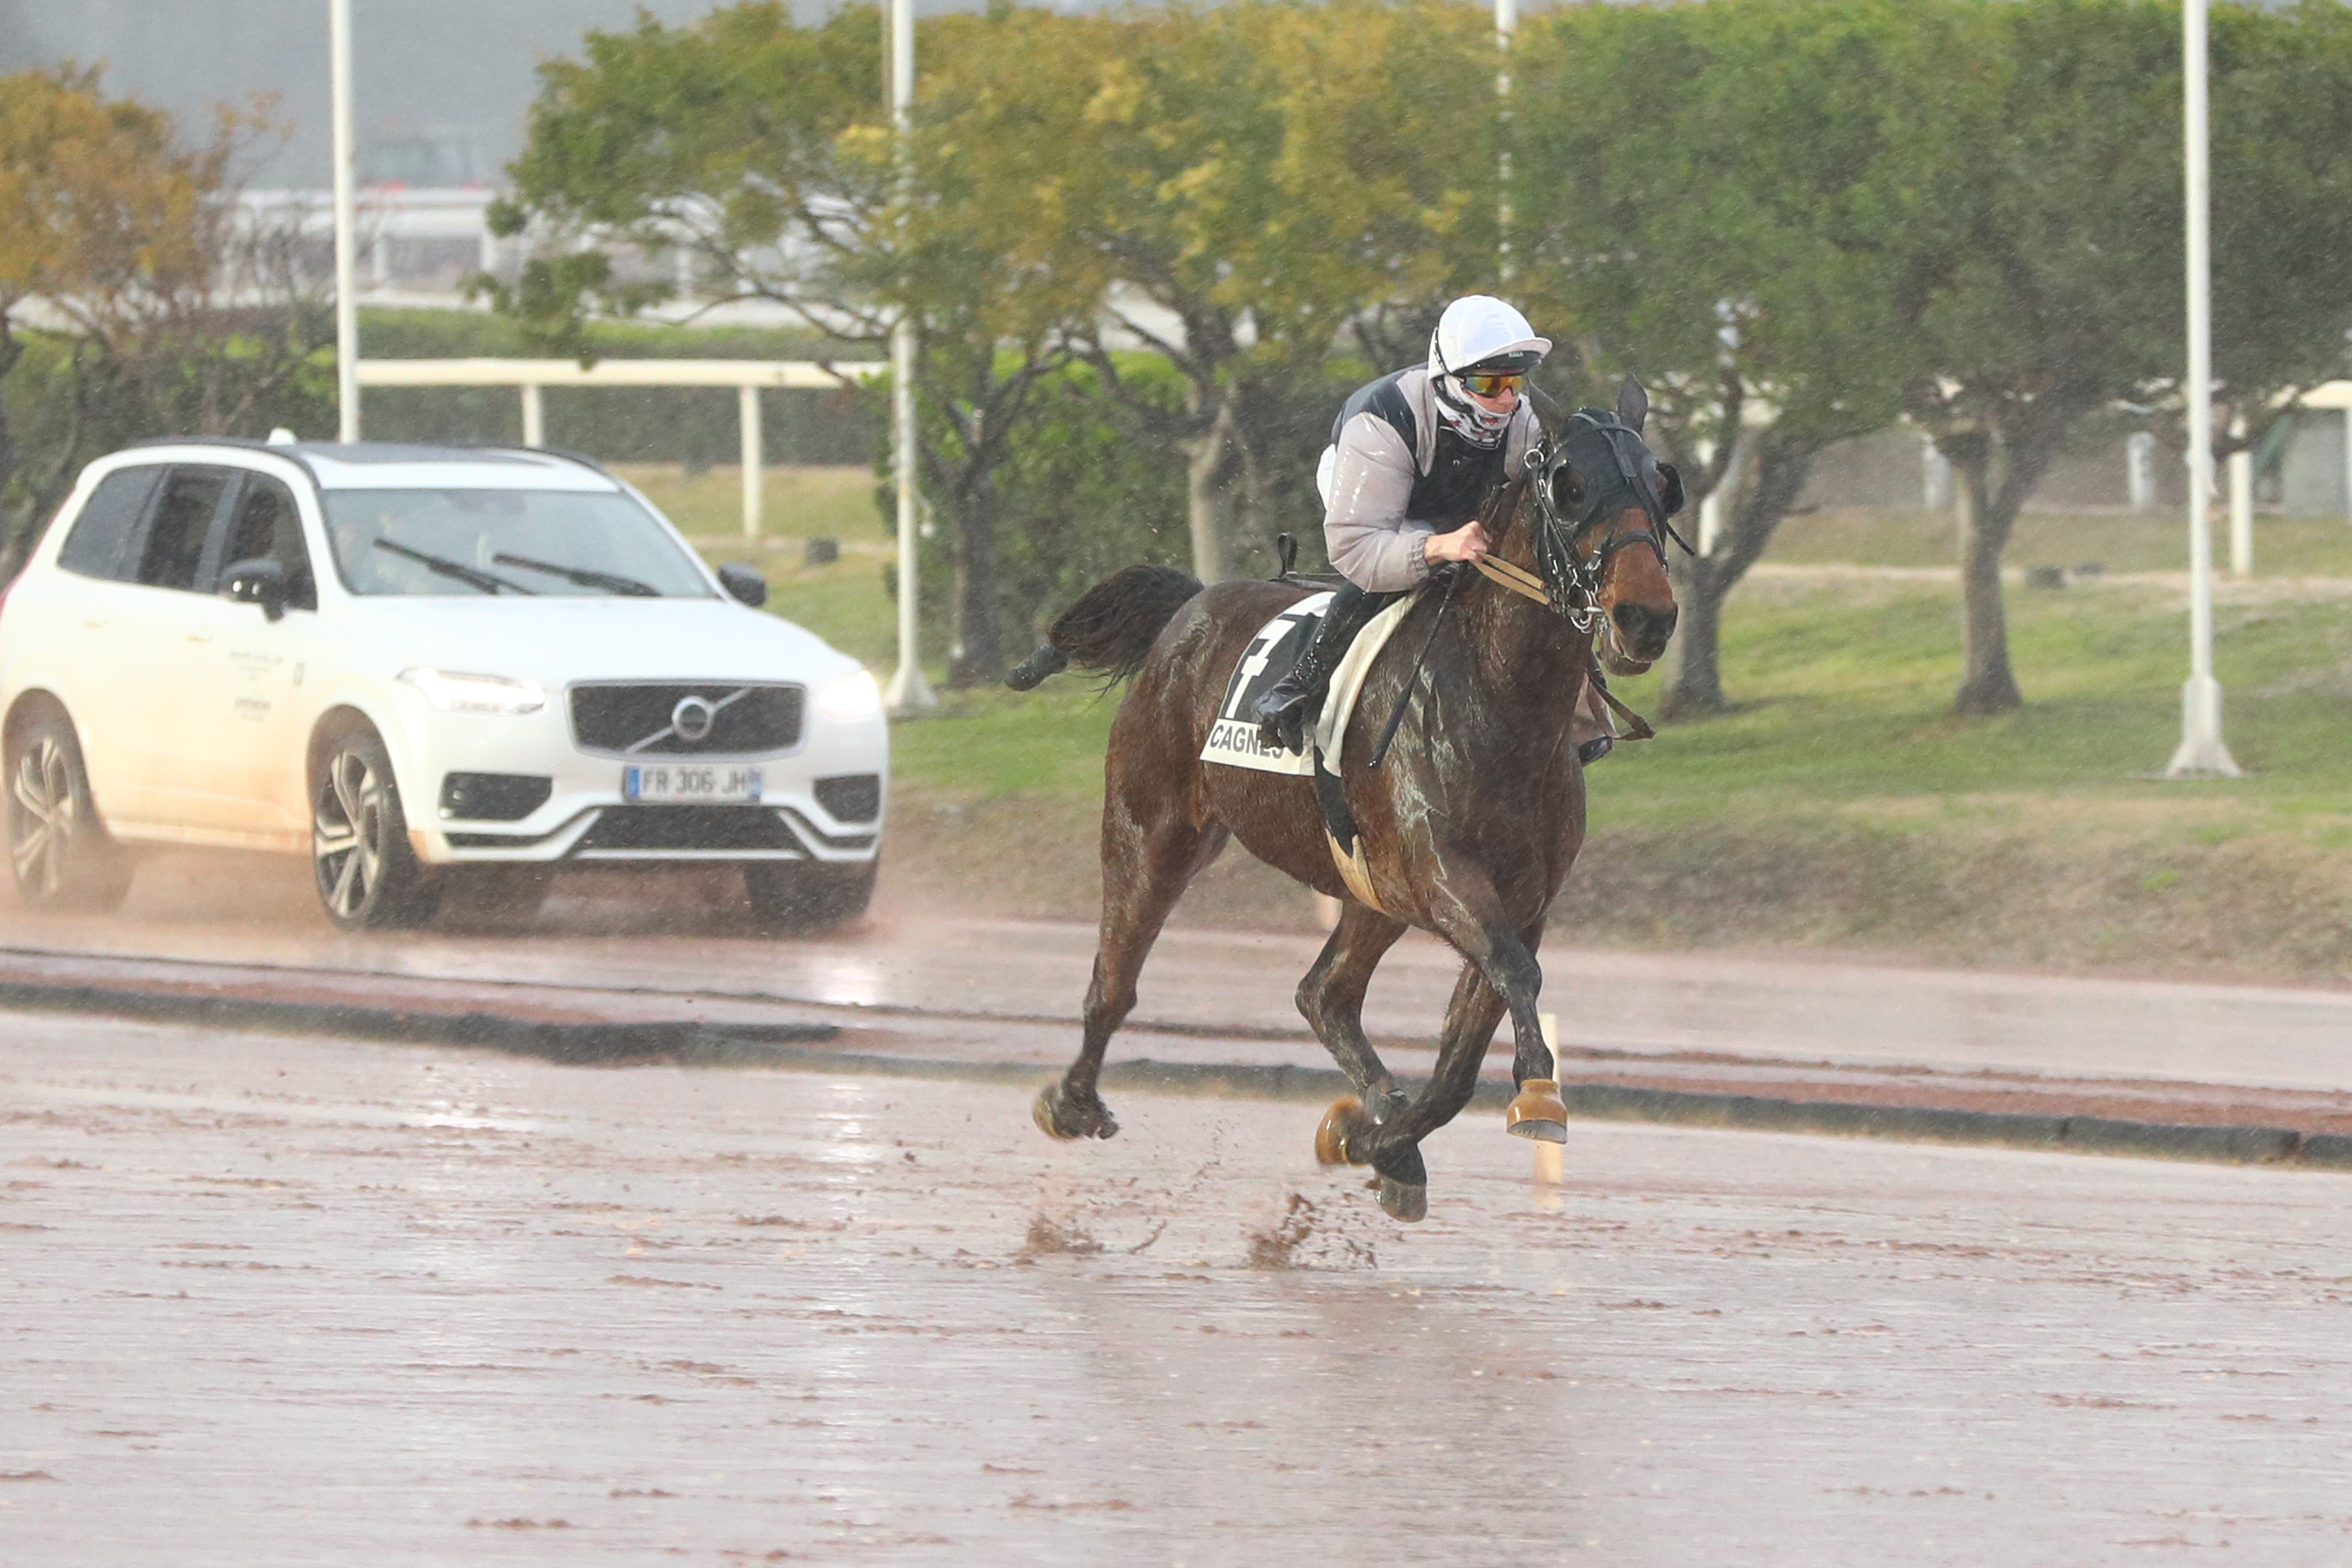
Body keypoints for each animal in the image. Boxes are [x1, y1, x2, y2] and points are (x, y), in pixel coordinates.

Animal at [1016, 381, 1693, 1222]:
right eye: (1569, 487)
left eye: (1662, 484)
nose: (1645, 616)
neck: (1501, 701)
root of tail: (1192, 606)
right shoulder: (1441, 876)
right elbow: (1514, 977)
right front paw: (1536, 1089)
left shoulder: (1520, 896)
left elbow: (1465, 1047)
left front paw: (1380, 1140)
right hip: (1153, 830)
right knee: (1114, 980)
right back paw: (1072, 1101)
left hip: (1367, 890)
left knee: (1324, 994)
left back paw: (1372, 1110)